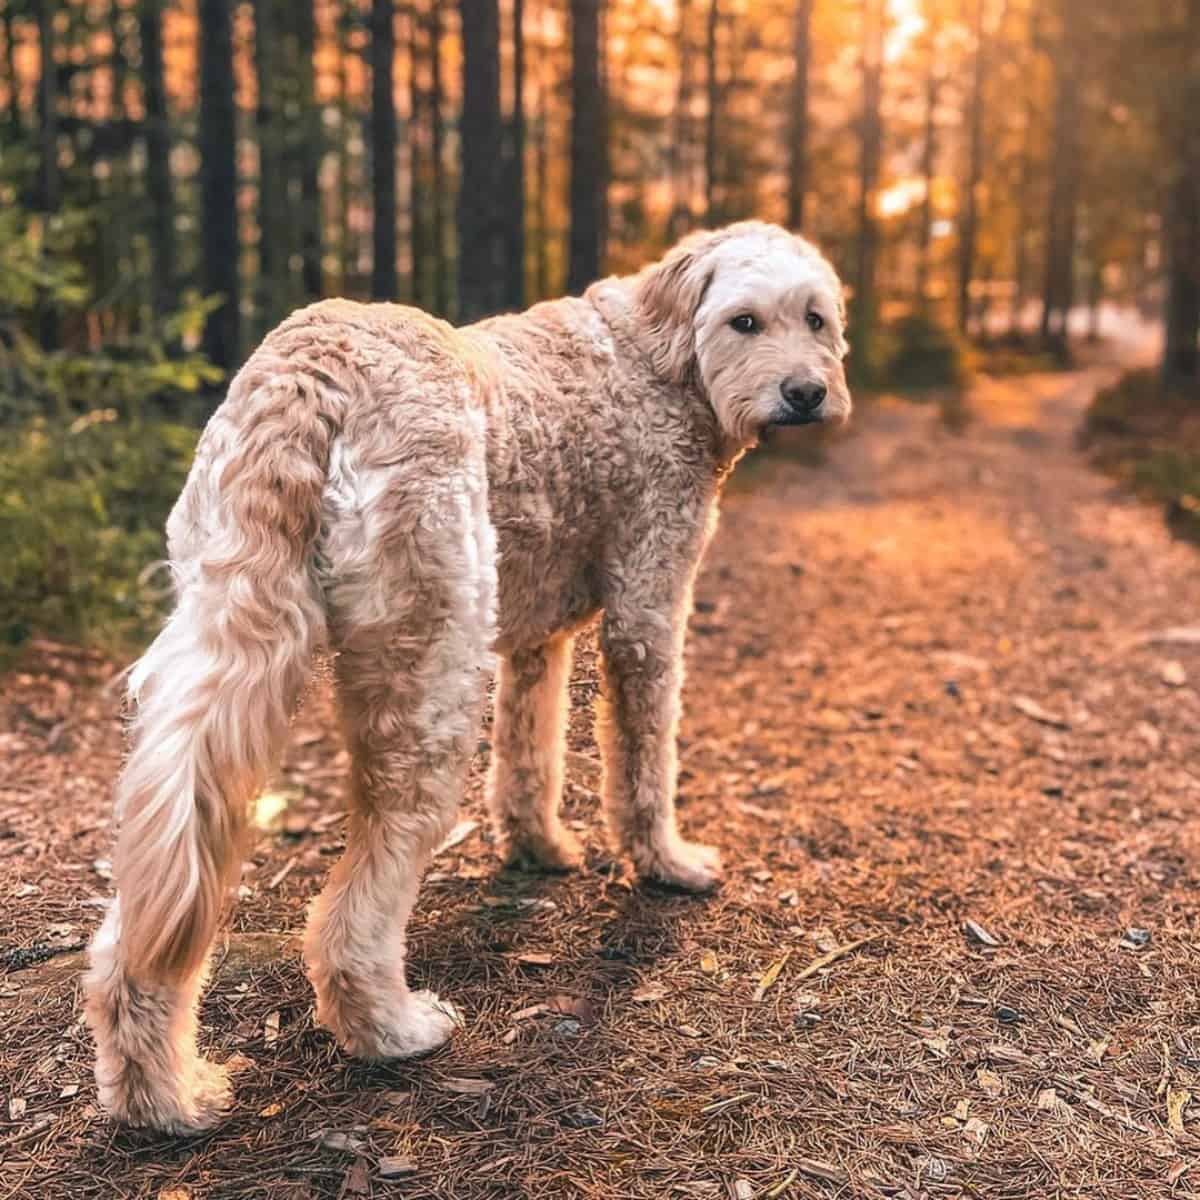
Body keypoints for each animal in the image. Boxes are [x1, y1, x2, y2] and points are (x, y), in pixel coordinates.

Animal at [84, 220, 849, 1128]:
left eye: (815, 318)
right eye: (745, 322)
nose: (807, 392)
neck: (657, 358)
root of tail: (310, 365)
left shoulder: (533, 634)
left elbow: (529, 753)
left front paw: (537, 848)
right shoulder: (648, 608)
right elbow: (643, 760)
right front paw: (666, 863)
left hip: (226, 629)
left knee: (154, 894)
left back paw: (157, 1093)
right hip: (429, 674)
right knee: (364, 892)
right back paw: (391, 1029)